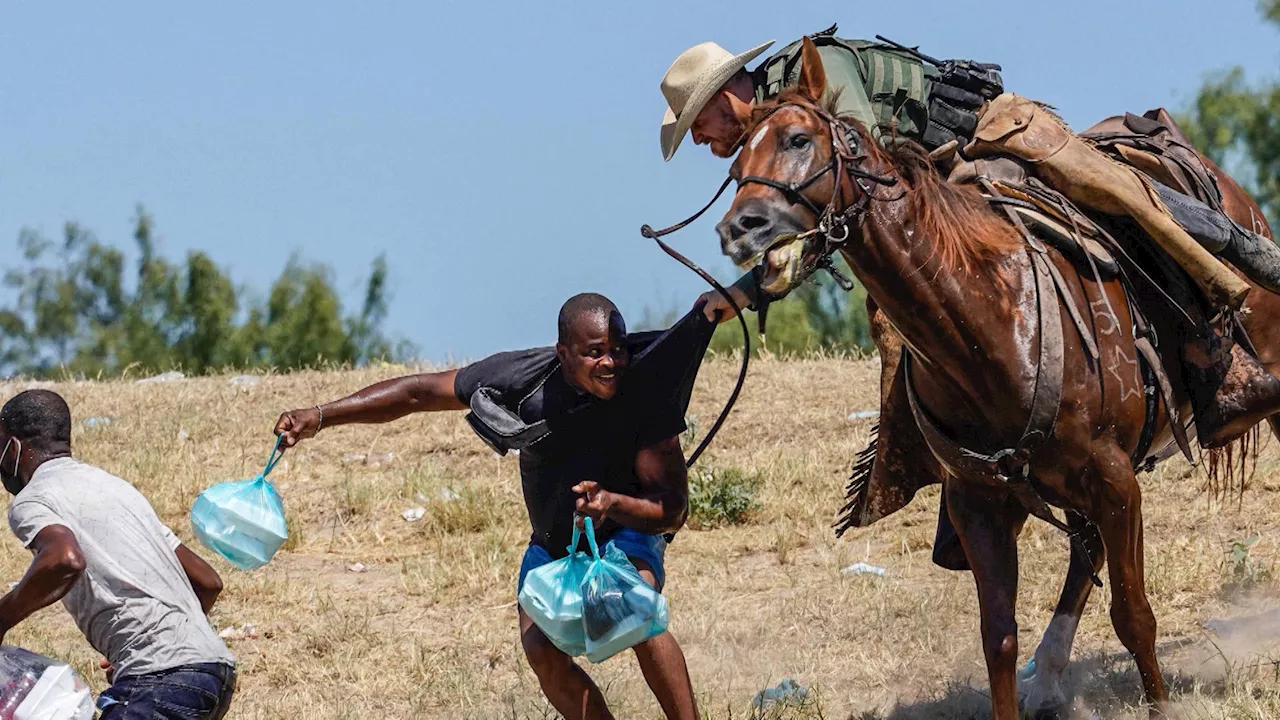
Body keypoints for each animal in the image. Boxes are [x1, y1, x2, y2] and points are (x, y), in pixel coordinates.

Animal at [716, 40, 1280, 717]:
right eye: (736, 161)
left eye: (799, 139)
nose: (739, 228)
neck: (990, 320)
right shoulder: (980, 503)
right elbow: (999, 639)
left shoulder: (1115, 480)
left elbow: (1134, 616)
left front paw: (1161, 704)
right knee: (1082, 554)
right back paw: (1051, 673)